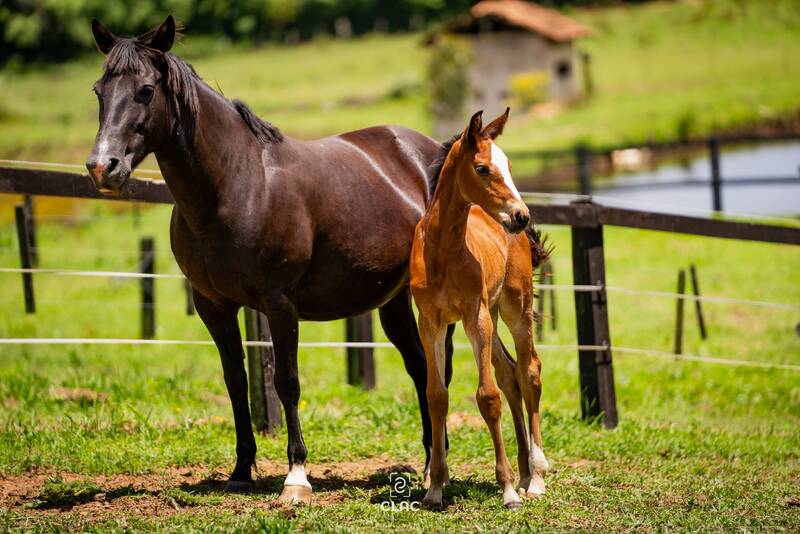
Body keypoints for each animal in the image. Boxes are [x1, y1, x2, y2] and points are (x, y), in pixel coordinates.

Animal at [87, 15, 454, 502]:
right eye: (99, 90)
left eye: (146, 90)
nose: (102, 167)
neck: (237, 184)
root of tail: (429, 151)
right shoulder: (213, 306)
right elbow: (236, 383)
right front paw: (241, 470)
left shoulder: (280, 304)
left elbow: (286, 383)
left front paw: (296, 477)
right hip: (392, 301)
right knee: (420, 367)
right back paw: (432, 462)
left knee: (437, 370)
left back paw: (438, 467)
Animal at [410, 109, 548, 510]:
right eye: (483, 168)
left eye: (511, 165)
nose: (520, 215)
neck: (443, 251)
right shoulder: (431, 322)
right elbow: (436, 396)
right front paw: (434, 488)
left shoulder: (476, 317)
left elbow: (487, 397)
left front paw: (507, 491)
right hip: (495, 314)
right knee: (509, 373)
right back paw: (524, 473)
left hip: (515, 307)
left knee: (529, 370)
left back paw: (535, 476)